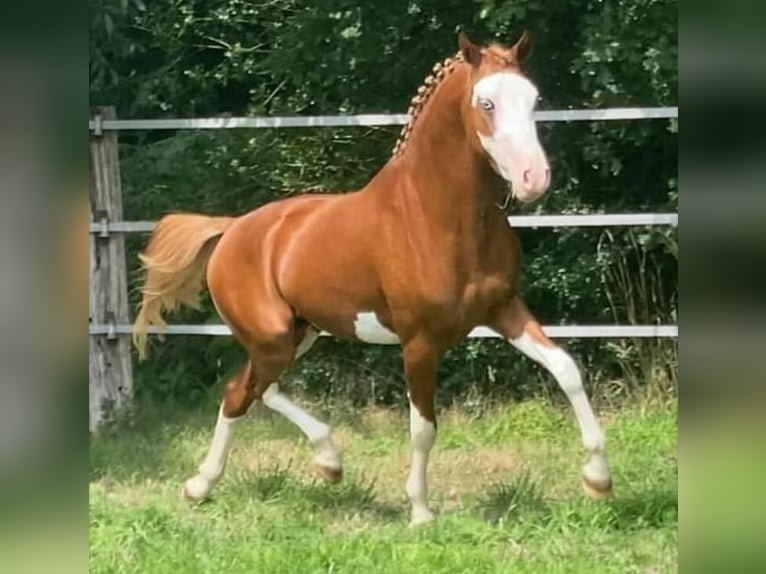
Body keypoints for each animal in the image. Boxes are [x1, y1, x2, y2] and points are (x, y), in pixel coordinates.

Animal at [132, 30, 612, 528]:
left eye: (534, 99)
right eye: (487, 103)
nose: (534, 178)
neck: (437, 215)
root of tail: (231, 230)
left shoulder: (503, 309)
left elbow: (566, 369)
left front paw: (598, 480)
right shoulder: (419, 341)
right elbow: (423, 427)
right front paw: (420, 511)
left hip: (300, 333)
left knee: (251, 390)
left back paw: (284, 471)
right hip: (273, 337)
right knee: (244, 392)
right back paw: (231, 478)